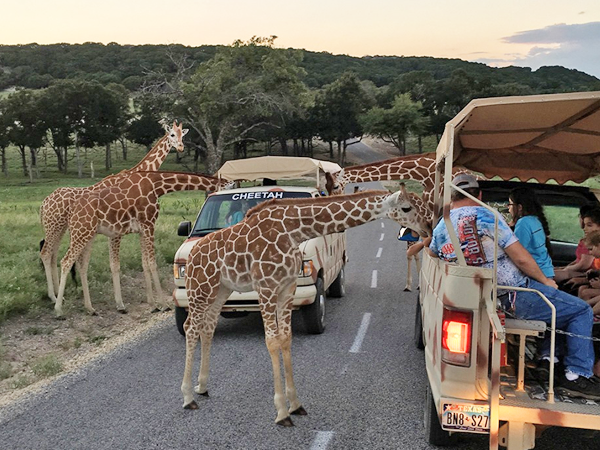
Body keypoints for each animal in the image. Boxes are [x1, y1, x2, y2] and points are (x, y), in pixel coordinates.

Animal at [39, 120, 189, 302]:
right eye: (172, 134)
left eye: (183, 135)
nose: (181, 147)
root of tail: (44, 204)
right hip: (54, 226)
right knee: (46, 253)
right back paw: (54, 297)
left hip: (60, 228)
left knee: (53, 255)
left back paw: (59, 295)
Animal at [53, 171, 223, 318]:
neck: (157, 185)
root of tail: (71, 211)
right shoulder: (149, 225)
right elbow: (152, 263)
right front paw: (163, 304)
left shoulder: (142, 230)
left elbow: (145, 263)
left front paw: (153, 305)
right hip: (81, 232)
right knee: (65, 261)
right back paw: (59, 310)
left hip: (88, 234)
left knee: (82, 265)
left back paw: (90, 308)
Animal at [180, 185, 428, 426]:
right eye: (406, 208)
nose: (426, 228)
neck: (293, 231)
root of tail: (191, 254)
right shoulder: (266, 287)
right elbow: (272, 341)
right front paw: (282, 412)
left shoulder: (287, 288)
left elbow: (286, 338)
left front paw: (296, 405)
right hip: (199, 287)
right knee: (190, 327)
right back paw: (188, 397)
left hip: (220, 289)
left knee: (207, 327)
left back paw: (202, 387)